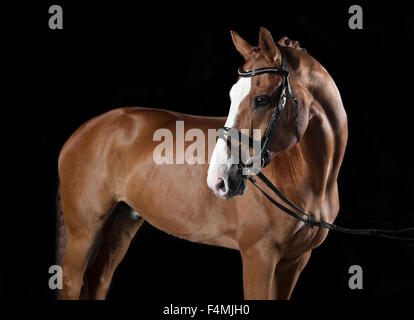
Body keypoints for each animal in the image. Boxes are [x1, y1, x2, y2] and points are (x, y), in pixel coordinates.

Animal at [56, 28, 348, 300]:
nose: (218, 179)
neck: (307, 177)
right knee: (72, 280)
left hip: (122, 221)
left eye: (262, 99)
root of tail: (84, 130)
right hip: (84, 230)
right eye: (232, 95)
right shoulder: (259, 255)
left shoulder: (294, 261)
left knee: (98, 279)